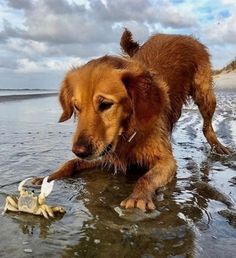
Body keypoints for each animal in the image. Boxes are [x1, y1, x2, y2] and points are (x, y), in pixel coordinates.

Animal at [32, 28, 231, 211]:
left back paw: (218, 146)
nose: (79, 151)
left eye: (105, 104)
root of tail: (178, 35)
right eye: (77, 107)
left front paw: (138, 196)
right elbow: (70, 163)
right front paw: (47, 177)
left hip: (205, 94)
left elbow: (146, 177)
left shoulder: (167, 161)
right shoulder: (103, 153)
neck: (127, 132)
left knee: (207, 125)